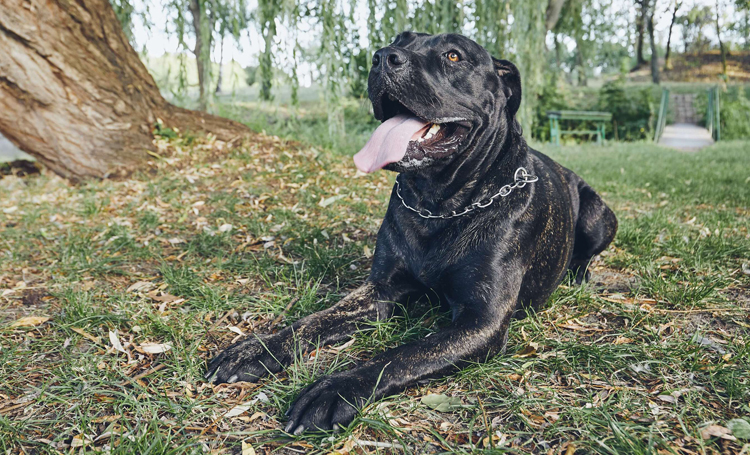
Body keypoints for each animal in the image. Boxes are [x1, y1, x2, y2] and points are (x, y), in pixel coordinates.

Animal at [206, 32, 616, 434]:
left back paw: (579, 275)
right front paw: (256, 349)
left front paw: (333, 389)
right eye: (398, 39)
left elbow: (401, 355)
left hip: (599, 217)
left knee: (587, 253)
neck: (438, 204)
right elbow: (313, 321)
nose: (383, 56)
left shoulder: (481, 320)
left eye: (454, 56)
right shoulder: (380, 290)